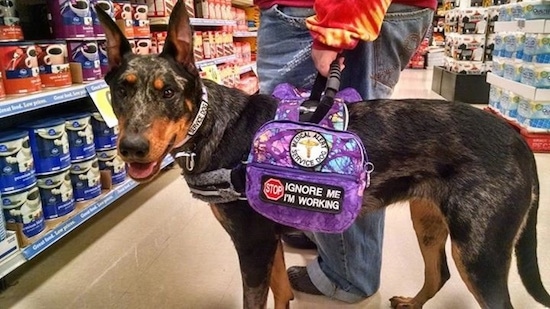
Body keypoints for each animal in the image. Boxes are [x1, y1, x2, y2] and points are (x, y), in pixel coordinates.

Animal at [97, 1, 548, 306]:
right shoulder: (269, 240)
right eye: (120, 90)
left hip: (479, 252)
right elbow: (282, 292)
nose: (131, 148)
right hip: (429, 219)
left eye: (168, 93)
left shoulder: (252, 245)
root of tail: (518, 141)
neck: (211, 124)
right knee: (438, 274)